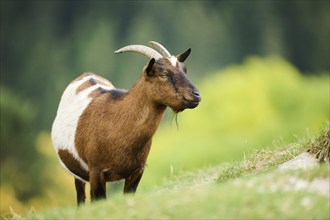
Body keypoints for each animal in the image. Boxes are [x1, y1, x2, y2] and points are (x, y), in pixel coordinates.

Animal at [51, 40, 201, 205]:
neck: (116, 122)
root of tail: (86, 74)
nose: (196, 95)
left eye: (184, 70)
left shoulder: (137, 171)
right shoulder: (96, 172)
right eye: (163, 74)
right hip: (78, 174)